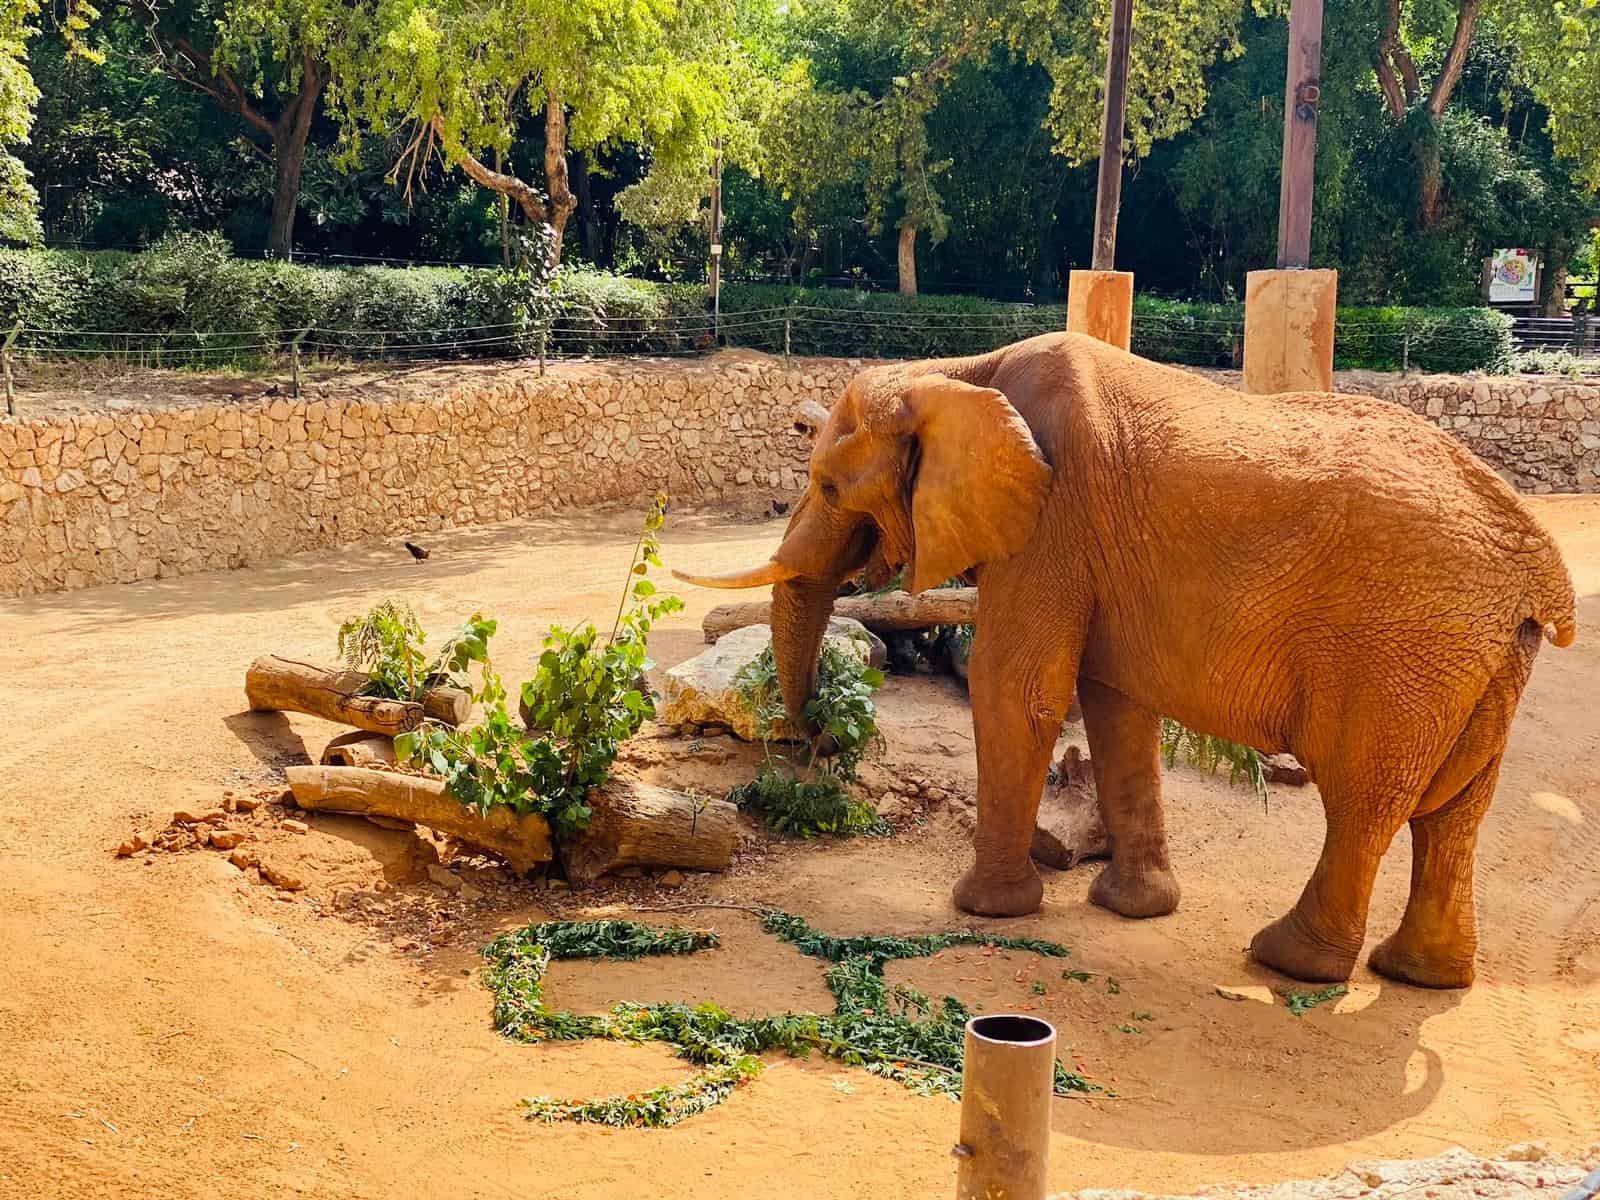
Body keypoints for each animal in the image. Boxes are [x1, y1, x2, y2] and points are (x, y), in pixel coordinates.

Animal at [675, 334, 1574, 992]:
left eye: (829, 488)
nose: (816, 738)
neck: (957, 374)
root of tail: (1536, 559)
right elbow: (1115, 706)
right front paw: (1131, 910)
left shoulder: (1053, 521)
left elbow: (1016, 688)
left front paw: (988, 912)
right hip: (1479, 656)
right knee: (1454, 812)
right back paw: (1420, 975)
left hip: (1405, 650)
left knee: (1367, 801)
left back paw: (1287, 961)